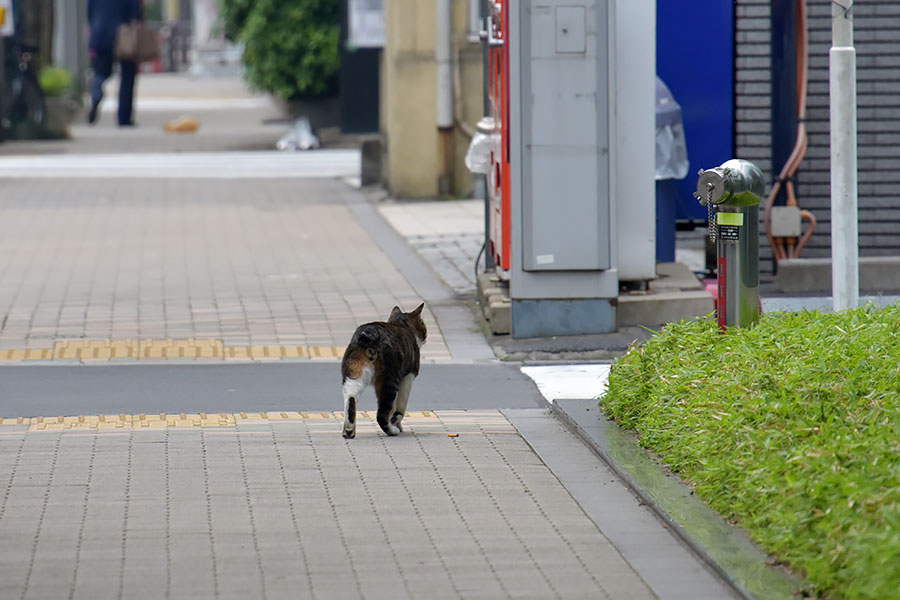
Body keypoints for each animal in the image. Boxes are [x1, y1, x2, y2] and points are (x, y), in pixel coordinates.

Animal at [344, 302, 428, 438]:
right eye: (422, 323)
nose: (426, 335)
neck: (401, 323)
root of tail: (368, 335)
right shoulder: (408, 377)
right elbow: (399, 408)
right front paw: (397, 425)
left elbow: (393, 408)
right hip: (390, 377)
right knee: (382, 413)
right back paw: (392, 431)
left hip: (353, 373)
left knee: (351, 398)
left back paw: (349, 431)